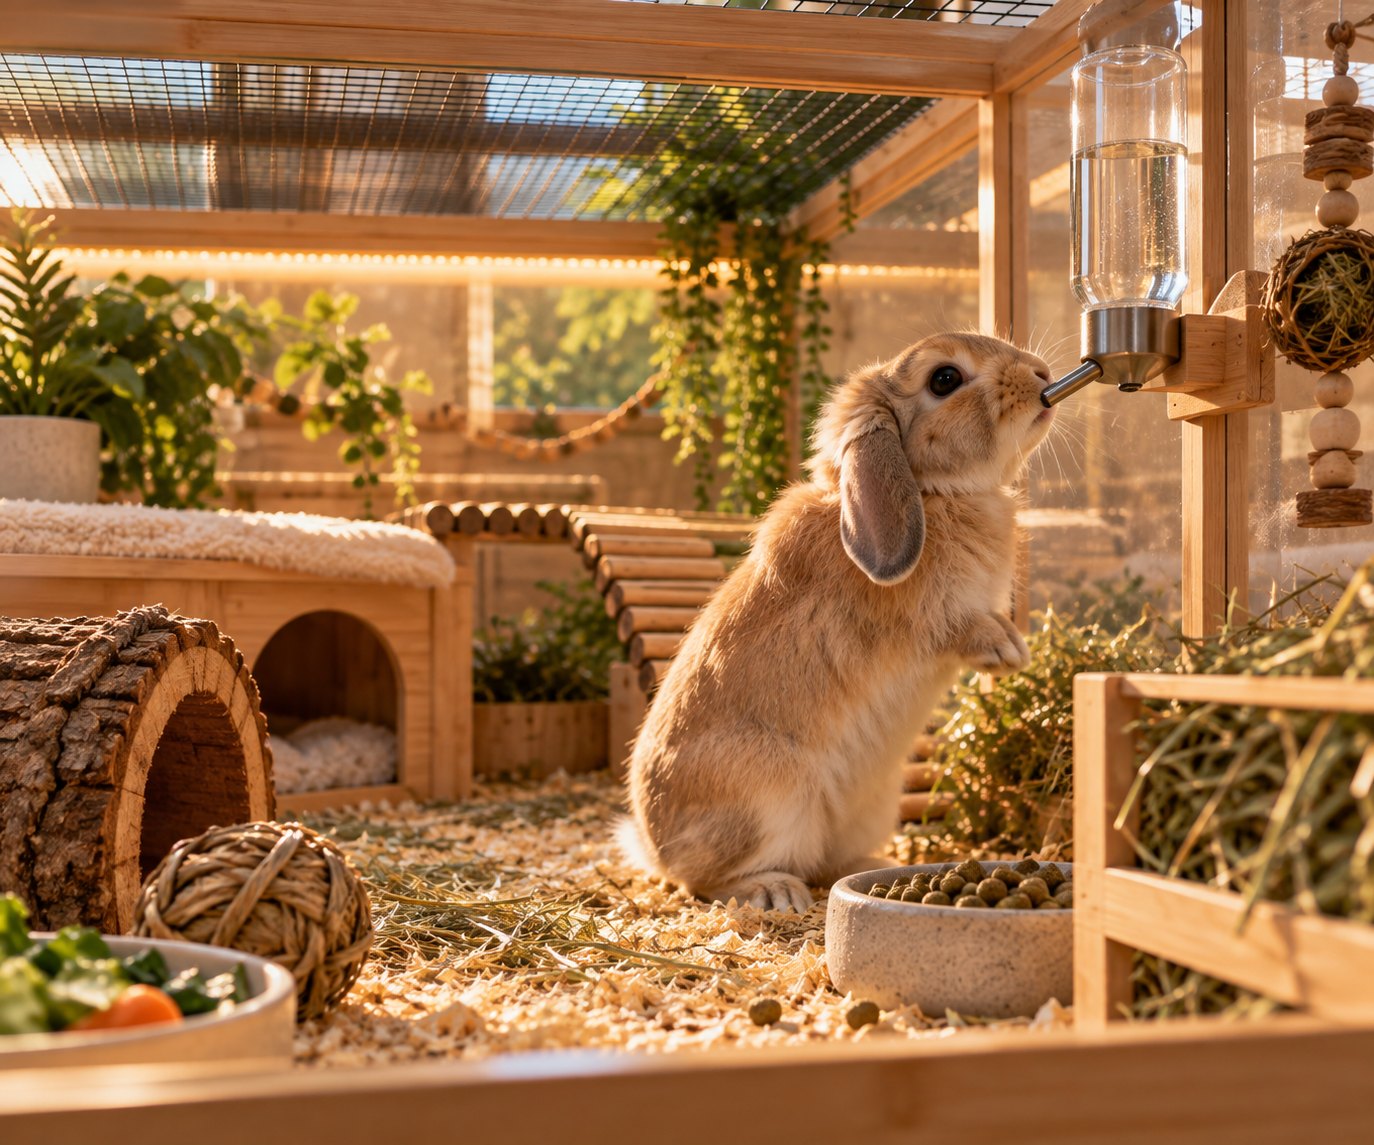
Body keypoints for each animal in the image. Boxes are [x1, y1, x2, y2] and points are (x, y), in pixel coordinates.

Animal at [617, 331, 1056, 911]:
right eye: (945, 379)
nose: (1041, 374)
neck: (930, 491)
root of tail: (651, 845)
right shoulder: (932, 619)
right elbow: (962, 629)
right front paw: (1008, 652)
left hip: (872, 806)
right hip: (769, 798)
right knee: (702, 879)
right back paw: (773, 891)